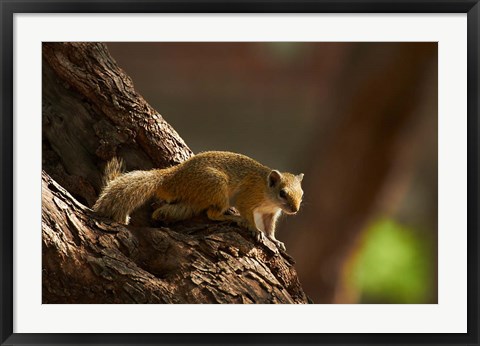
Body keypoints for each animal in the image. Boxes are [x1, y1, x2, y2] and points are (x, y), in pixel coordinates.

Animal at [92, 150, 304, 250]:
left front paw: (274, 240)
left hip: (194, 199)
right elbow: (249, 215)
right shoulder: (247, 198)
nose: (294, 210)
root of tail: (172, 177)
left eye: (302, 194)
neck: (268, 195)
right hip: (216, 187)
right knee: (212, 214)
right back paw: (233, 218)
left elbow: (270, 227)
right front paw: (254, 229)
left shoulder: (270, 214)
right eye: (282, 193)